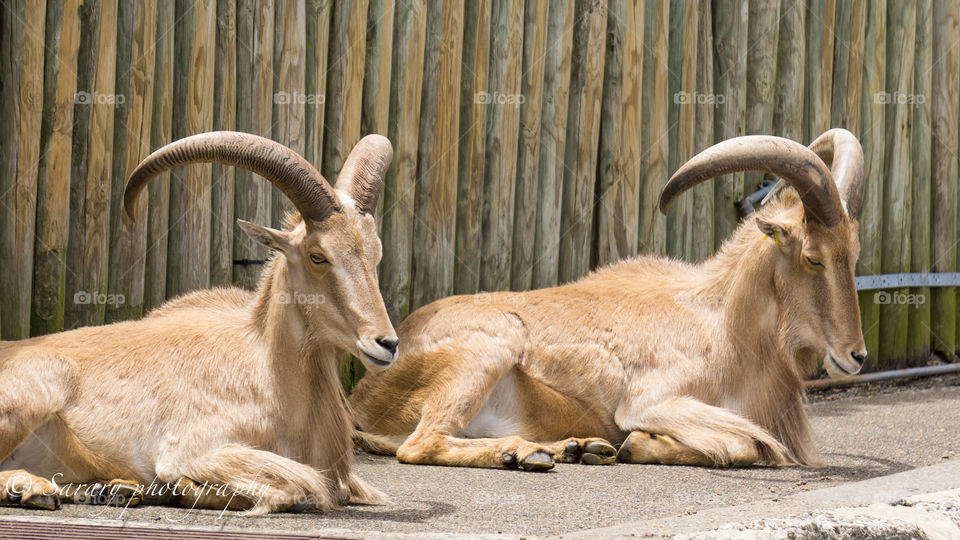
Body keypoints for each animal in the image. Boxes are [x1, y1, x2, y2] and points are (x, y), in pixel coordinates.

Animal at [0, 132, 399, 514]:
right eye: (318, 255)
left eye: (376, 254)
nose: (387, 343)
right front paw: (179, 489)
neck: (267, 376)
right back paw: (35, 488)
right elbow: (301, 487)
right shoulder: (194, 450)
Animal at [350, 129, 866, 471]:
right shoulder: (651, 401)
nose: (856, 355)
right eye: (813, 257)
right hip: (486, 349)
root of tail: (363, 396)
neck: (724, 324)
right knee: (420, 445)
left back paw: (572, 448)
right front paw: (639, 445)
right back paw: (527, 453)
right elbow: (751, 446)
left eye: (853, 254)